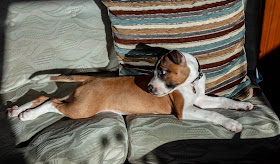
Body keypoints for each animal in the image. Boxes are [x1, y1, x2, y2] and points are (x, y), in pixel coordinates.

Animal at [7, 47, 254, 132]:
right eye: (155, 72)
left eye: (163, 71)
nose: (150, 88)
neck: (191, 82)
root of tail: (91, 79)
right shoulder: (186, 110)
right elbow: (214, 114)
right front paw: (232, 123)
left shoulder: (200, 100)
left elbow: (223, 101)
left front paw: (243, 105)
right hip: (82, 108)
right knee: (51, 102)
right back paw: (27, 115)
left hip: (76, 99)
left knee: (43, 96)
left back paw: (18, 110)